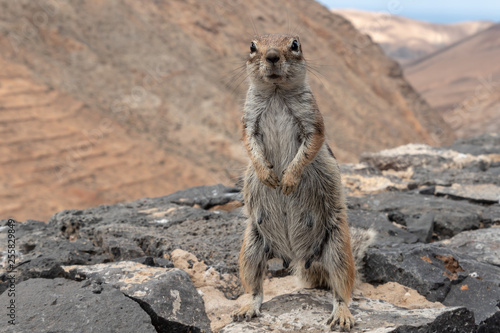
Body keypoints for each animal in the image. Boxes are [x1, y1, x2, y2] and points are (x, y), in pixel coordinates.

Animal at [232, 35, 374, 330]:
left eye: (295, 44)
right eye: (252, 46)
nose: (272, 56)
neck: (276, 92)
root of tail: (298, 257)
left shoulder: (312, 119)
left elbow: (310, 146)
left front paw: (288, 180)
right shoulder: (248, 121)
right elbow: (249, 143)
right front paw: (267, 175)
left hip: (338, 248)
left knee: (342, 290)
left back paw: (342, 315)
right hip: (251, 247)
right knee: (254, 287)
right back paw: (247, 307)